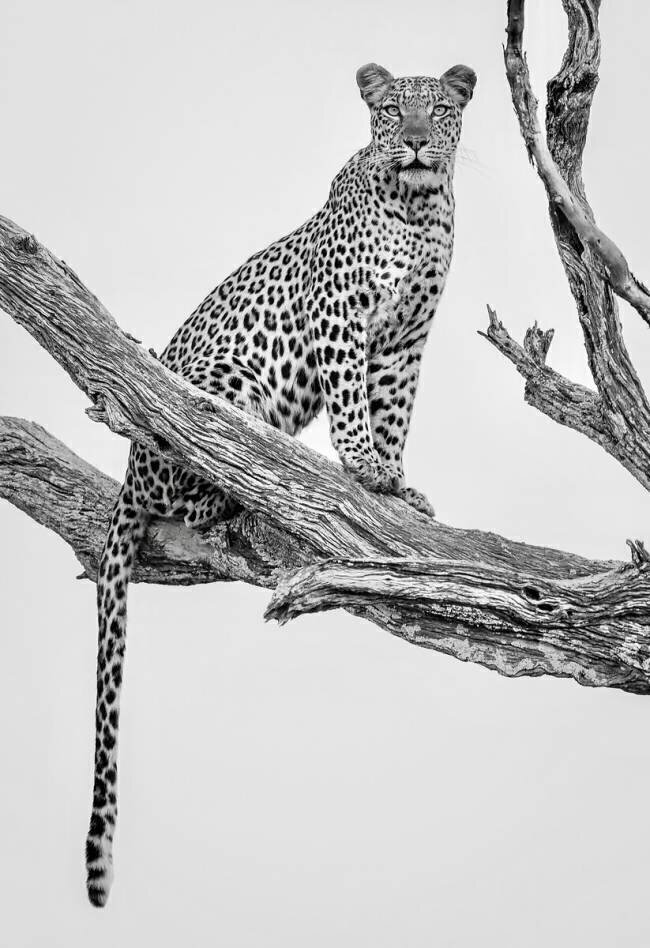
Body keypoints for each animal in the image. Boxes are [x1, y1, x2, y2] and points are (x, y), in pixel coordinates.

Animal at [85, 60, 476, 906]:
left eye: (440, 110)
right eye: (391, 111)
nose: (415, 142)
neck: (420, 208)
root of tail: (126, 479)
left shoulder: (405, 341)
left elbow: (395, 412)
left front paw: (396, 486)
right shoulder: (341, 315)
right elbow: (354, 404)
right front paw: (363, 469)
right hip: (219, 388)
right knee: (197, 466)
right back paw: (237, 485)